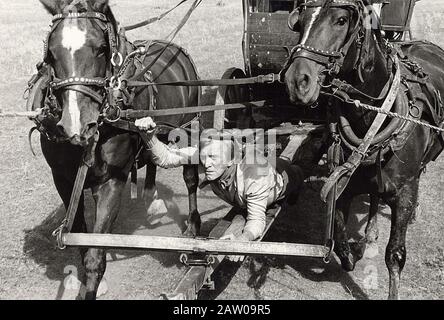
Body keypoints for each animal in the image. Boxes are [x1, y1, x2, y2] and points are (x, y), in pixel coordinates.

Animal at [38, 0, 201, 300]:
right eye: (51, 53)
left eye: (101, 48)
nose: (76, 123)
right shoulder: (64, 179)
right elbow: (79, 236)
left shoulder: (111, 180)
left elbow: (96, 252)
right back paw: (151, 196)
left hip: (188, 128)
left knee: (191, 178)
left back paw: (193, 230)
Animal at [284, 0, 444, 300]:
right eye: (300, 22)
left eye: (341, 20)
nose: (297, 81)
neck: (373, 116)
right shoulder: (342, 184)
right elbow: (341, 244)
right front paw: (357, 248)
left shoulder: (404, 193)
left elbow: (395, 254)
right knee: (374, 194)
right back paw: (370, 232)